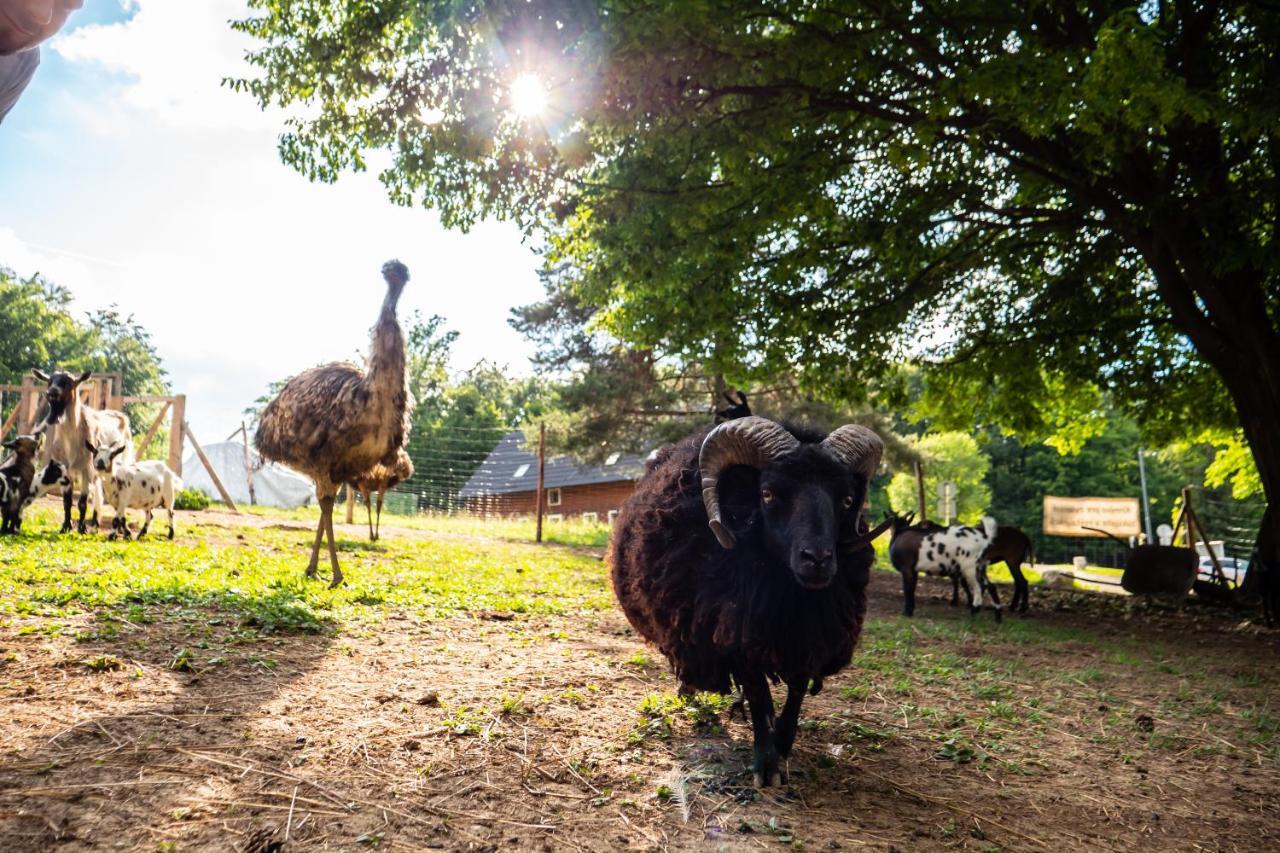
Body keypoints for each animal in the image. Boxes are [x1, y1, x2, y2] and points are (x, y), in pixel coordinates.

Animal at [34, 366, 133, 532]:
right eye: (50, 381)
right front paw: (66, 526)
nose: (52, 392)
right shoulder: (65, 469)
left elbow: (82, 501)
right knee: (98, 491)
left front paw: (81, 528)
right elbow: (67, 501)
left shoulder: (86, 469)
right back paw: (96, 521)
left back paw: (118, 526)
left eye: (68, 382)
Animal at [609, 412, 880, 783]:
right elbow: (758, 695)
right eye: (767, 494)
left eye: (848, 500)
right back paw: (688, 689)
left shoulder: (809, 638)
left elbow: (796, 691)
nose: (818, 559)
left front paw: (783, 743)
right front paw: (766, 764)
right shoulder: (737, 639)